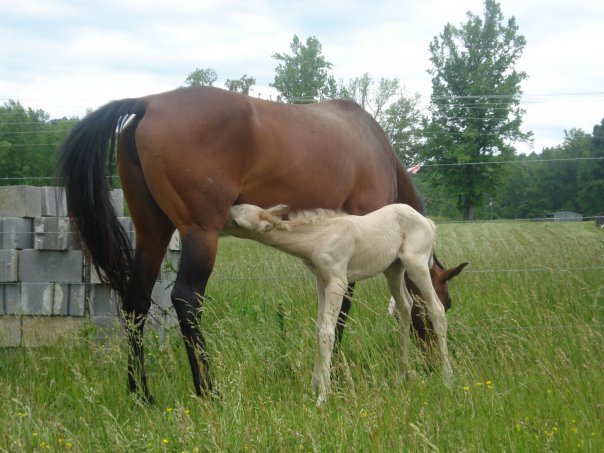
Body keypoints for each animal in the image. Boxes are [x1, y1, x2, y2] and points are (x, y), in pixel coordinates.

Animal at [225, 201, 452, 402]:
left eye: (237, 220)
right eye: (238, 206)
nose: (223, 212)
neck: (319, 237)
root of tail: (428, 222)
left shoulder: (338, 281)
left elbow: (327, 333)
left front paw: (323, 397)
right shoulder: (321, 281)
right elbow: (318, 329)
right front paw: (312, 389)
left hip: (416, 264)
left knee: (436, 308)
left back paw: (448, 377)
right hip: (393, 268)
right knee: (405, 306)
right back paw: (401, 376)